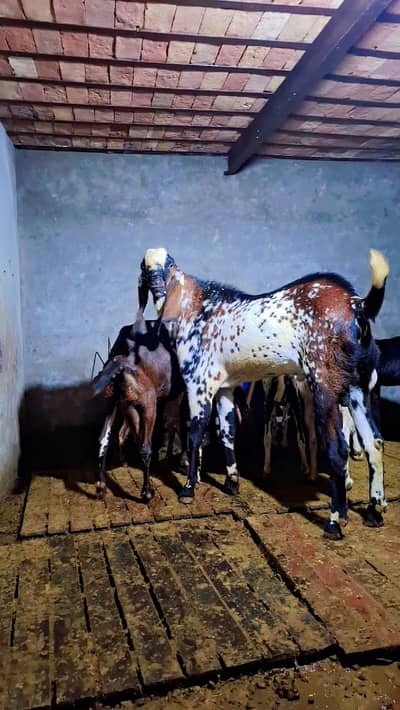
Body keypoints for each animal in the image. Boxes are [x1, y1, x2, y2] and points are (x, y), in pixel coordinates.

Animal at [93, 317, 187, 500]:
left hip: (118, 403)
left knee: (104, 439)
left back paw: (102, 486)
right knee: (144, 446)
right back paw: (147, 492)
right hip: (146, 404)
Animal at [139, 247, 388, 539]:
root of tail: (357, 305)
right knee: (374, 442)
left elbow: (195, 434)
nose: (156, 283)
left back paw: (335, 523)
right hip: (357, 388)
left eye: (168, 264)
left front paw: (188, 488)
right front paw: (231, 482)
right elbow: (226, 433)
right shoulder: (225, 388)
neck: (195, 308)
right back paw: (374, 512)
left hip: (324, 387)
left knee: (339, 449)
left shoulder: (198, 385)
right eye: (144, 266)